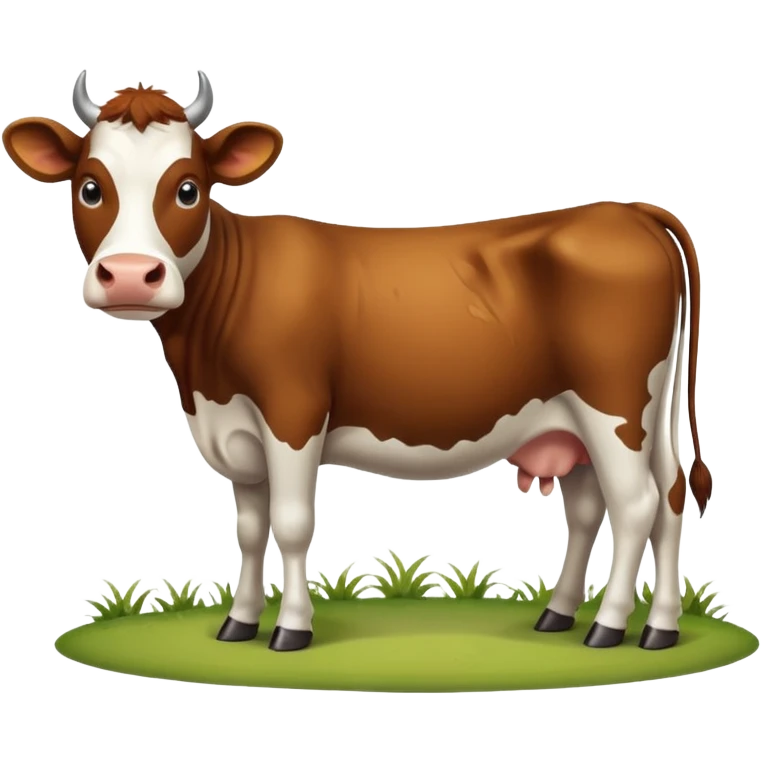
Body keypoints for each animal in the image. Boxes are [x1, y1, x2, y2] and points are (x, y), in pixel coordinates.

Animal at [2, 70, 713, 653]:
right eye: (89, 188)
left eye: (187, 189)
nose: (129, 276)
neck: (202, 372)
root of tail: (626, 211)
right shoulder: (235, 430)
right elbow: (250, 530)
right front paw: (238, 624)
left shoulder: (292, 414)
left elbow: (291, 525)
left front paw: (290, 631)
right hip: (594, 418)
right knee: (648, 499)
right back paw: (622, 623)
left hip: (614, 405)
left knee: (636, 503)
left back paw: (609, 627)